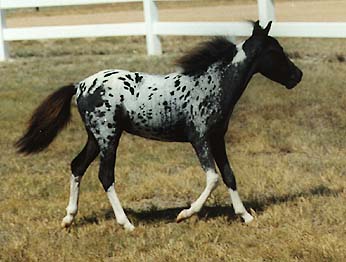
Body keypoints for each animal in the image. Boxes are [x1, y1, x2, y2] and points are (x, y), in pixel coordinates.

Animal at [16, 21, 302, 230]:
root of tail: (79, 86)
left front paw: (246, 216)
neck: (212, 84)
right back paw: (126, 224)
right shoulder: (199, 138)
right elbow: (212, 178)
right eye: (275, 51)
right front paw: (185, 214)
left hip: (95, 137)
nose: (297, 76)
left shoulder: (217, 138)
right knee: (105, 175)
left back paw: (68, 219)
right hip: (108, 136)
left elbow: (230, 176)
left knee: (77, 166)